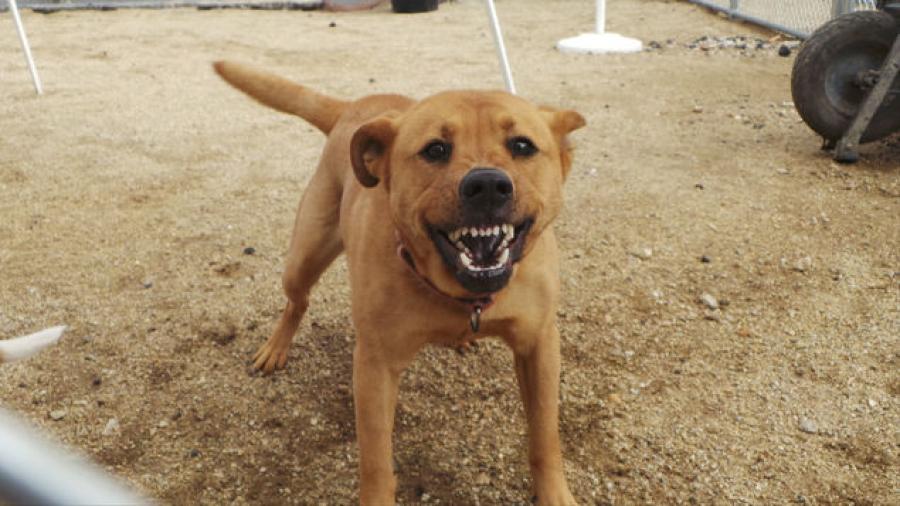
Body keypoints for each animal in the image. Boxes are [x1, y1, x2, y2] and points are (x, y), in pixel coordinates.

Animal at [215, 61, 588, 504]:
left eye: (522, 146)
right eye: (435, 150)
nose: (487, 186)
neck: (459, 293)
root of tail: (355, 107)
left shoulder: (540, 346)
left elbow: (545, 435)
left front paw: (554, 493)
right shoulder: (375, 366)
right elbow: (376, 460)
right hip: (303, 259)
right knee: (297, 301)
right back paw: (276, 347)